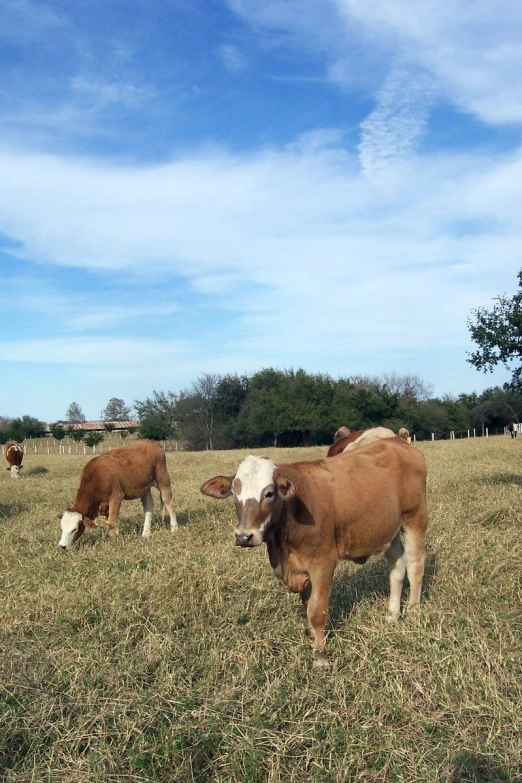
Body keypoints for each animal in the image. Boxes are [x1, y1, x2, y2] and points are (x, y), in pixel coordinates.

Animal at [200, 438, 426, 672]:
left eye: (269, 493)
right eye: (235, 493)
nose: (244, 536)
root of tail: (396, 441)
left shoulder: (323, 562)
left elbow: (317, 610)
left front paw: (320, 656)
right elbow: (307, 603)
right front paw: (311, 636)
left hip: (415, 518)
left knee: (415, 563)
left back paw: (413, 613)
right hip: (390, 528)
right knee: (396, 565)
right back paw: (393, 614)